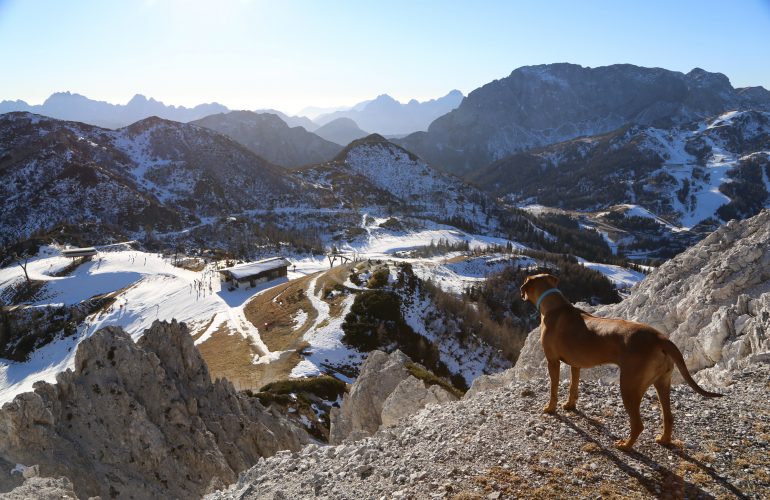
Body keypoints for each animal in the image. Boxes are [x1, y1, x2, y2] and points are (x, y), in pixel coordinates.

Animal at [520, 274, 724, 450]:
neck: (555, 306)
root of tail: (660, 338)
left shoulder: (553, 361)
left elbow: (553, 389)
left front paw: (550, 408)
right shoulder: (575, 364)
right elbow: (573, 387)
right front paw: (570, 406)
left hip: (629, 385)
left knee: (638, 424)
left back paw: (625, 445)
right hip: (662, 382)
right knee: (669, 416)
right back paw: (664, 440)